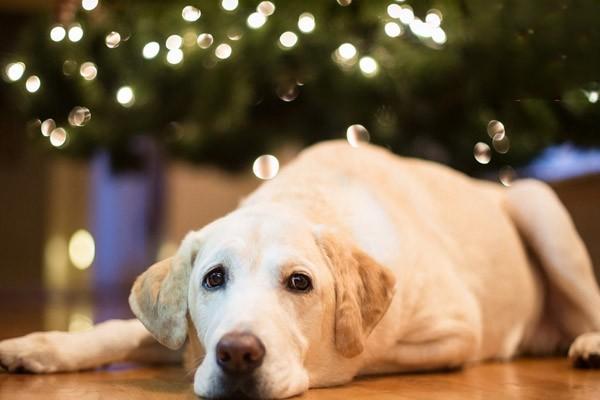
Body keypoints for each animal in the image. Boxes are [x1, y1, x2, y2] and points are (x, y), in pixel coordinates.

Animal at [1, 141, 600, 396]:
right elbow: (120, 331)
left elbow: (363, 355)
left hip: (540, 206)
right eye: (213, 278)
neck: (305, 198)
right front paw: (40, 347)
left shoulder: (455, 330)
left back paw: (587, 344)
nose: (237, 354)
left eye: (299, 283)